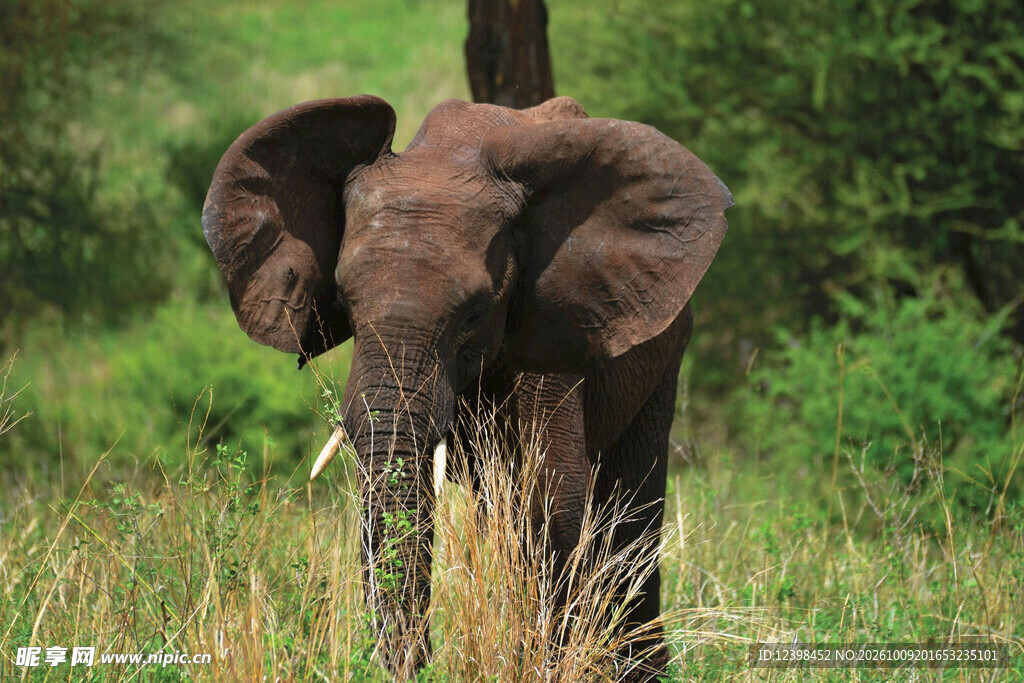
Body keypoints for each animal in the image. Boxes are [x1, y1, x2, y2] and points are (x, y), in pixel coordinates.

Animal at [202, 94, 731, 680]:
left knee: (630, 503)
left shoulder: (553, 325)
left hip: (667, 346)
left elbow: (554, 495)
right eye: (343, 300)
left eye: (475, 313)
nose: (421, 664)